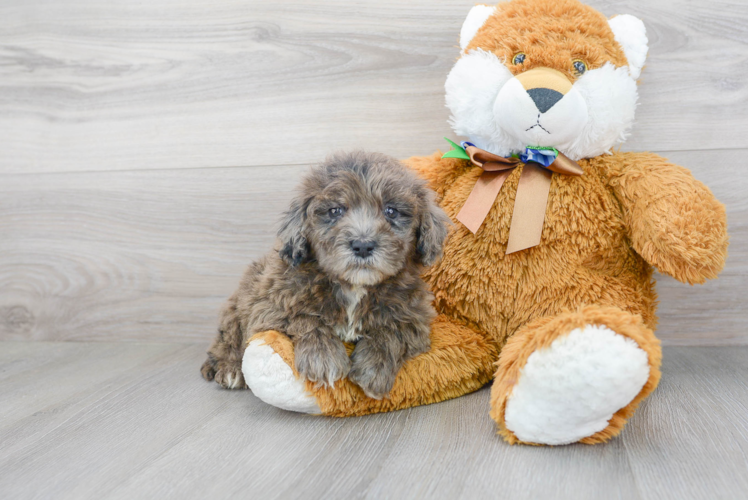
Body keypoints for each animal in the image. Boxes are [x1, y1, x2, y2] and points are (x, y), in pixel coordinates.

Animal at [200, 149, 450, 398]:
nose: (362, 245)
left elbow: (392, 330)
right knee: (227, 341)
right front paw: (323, 357)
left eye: (391, 211)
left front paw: (374, 368)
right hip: (237, 307)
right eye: (335, 211)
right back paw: (230, 369)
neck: (353, 286)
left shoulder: (415, 316)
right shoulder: (270, 307)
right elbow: (305, 318)